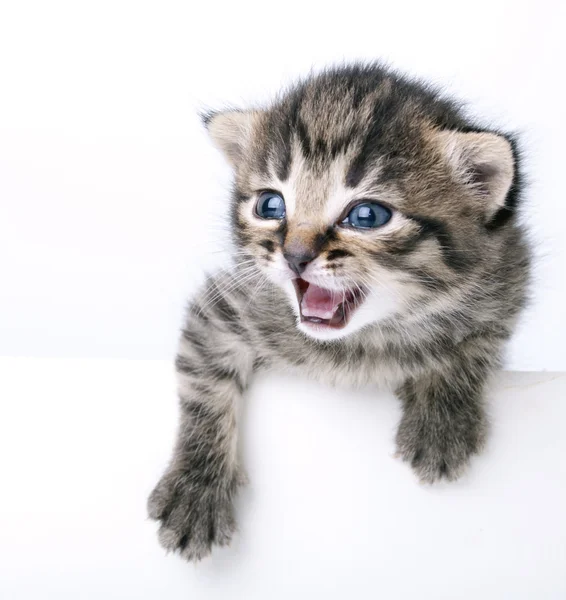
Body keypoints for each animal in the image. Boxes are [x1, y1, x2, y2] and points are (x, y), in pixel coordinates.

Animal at [146, 64, 532, 564]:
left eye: (367, 215)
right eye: (271, 205)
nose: (294, 255)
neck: (361, 341)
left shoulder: (509, 276)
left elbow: (478, 339)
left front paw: (441, 420)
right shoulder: (225, 306)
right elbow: (204, 385)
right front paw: (195, 489)